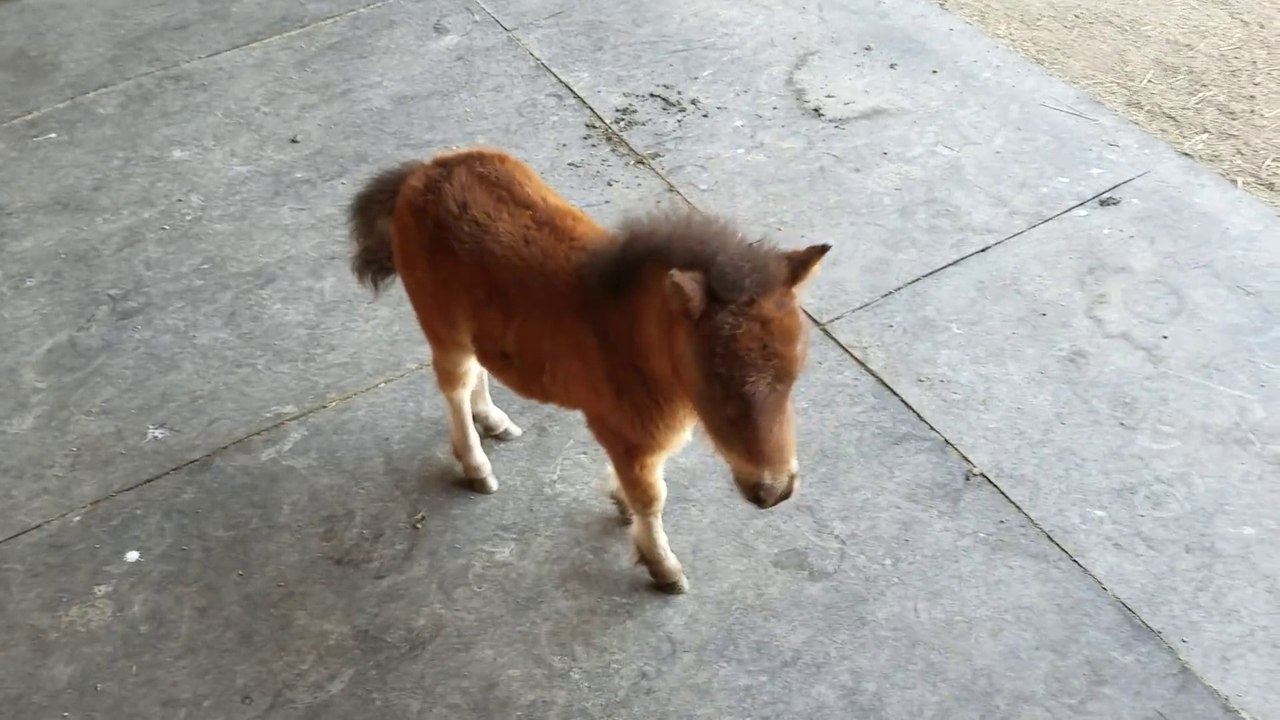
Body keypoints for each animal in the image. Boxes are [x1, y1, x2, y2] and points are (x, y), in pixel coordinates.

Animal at [348, 147, 829, 593]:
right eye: (717, 382)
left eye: (794, 374)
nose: (774, 491)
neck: (630, 334)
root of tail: (421, 173)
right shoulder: (629, 437)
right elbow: (652, 498)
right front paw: (663, 567)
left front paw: (621, 504)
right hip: (443, 330)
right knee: (455, 386)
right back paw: (477, 466)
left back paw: (494, 420)